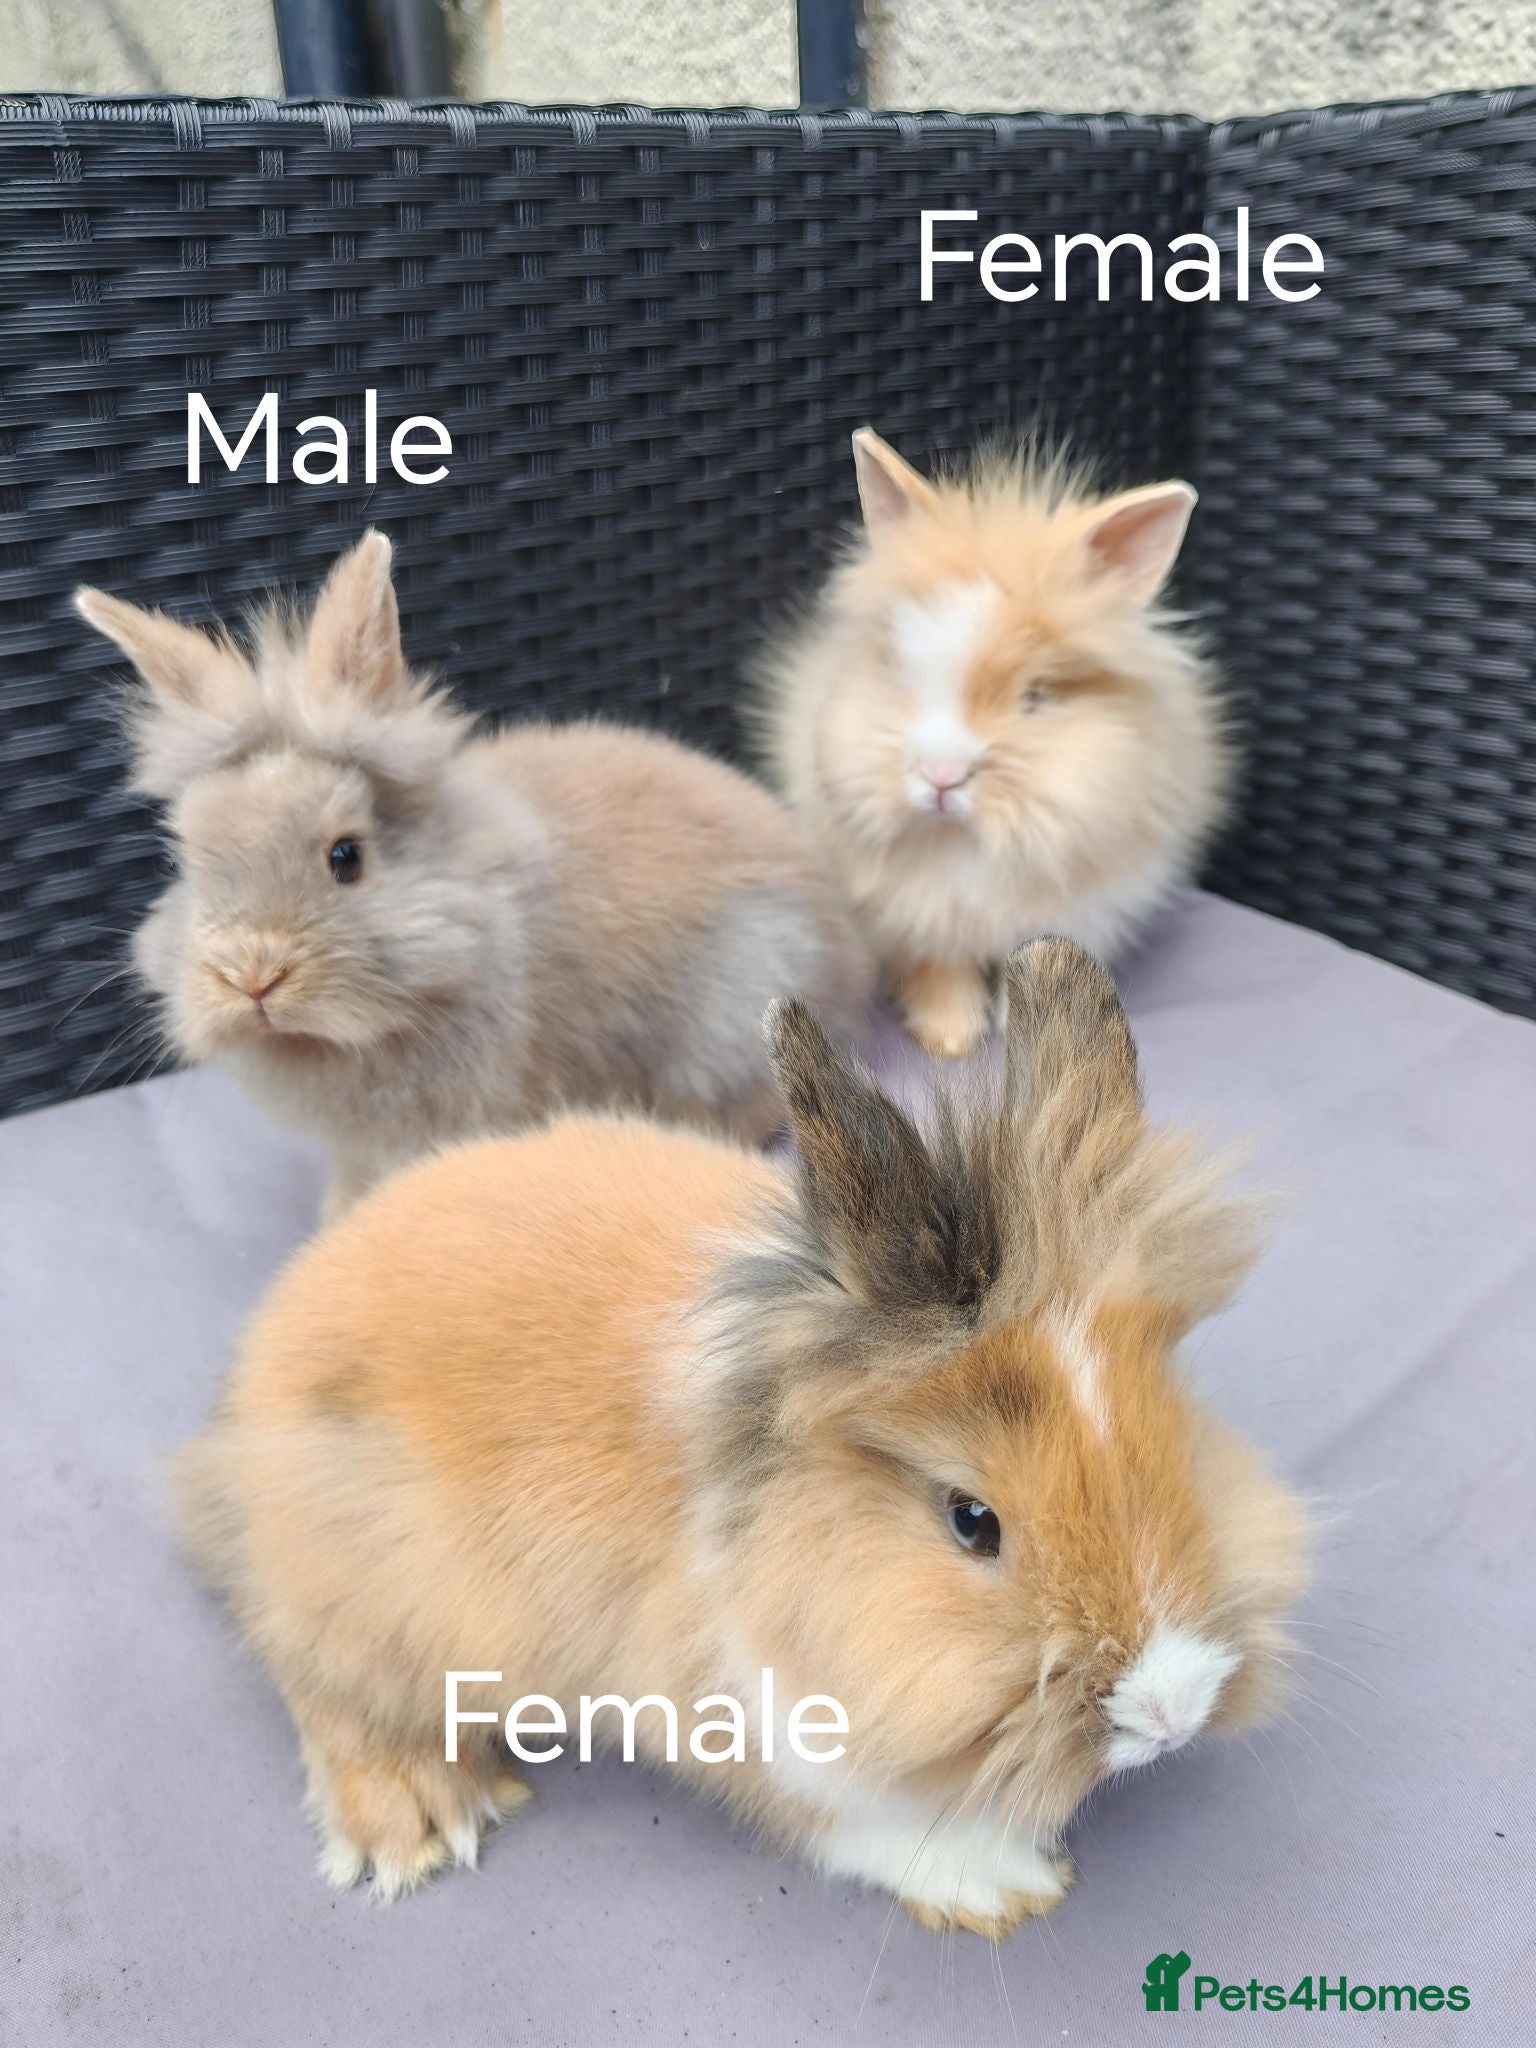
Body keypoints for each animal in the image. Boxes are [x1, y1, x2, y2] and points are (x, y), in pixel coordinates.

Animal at [174, 936, 1307, 1932]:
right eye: (971, 1519)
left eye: (1176, 1436)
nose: (1171, 1707)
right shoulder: (750, 1724)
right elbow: (853, 1821)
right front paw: (1001, 1886)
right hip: (364, 1586)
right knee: (319, 1678)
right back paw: (414, 1818)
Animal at [755, 428, 1228, 1059]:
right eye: (897, 665)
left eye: (1036, 696)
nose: (940, 777)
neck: (967, 844)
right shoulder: (920, 919)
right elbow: (940, 970)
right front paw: (950, 1039)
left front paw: (1018, 1027)